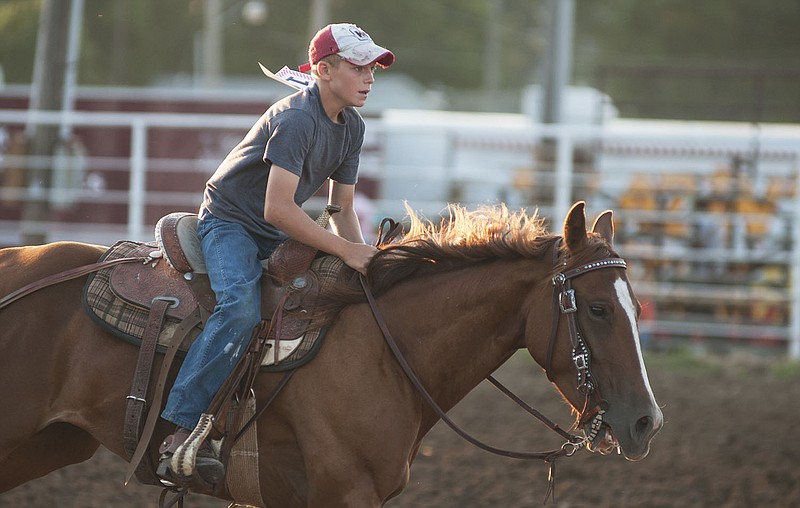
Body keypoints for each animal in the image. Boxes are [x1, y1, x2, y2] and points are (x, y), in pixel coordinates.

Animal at [0, 202, 664, 508]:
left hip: (50, 442)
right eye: (597, 309)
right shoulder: (343, 492)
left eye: (635, 307)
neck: (385, 349)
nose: (646, 423)